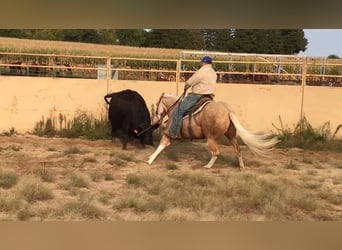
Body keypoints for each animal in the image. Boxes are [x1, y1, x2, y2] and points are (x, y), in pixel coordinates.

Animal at [147, 93, 278, 169]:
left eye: (157, 105)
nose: (156, 121)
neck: (175, 108)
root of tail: (227, 110)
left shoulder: (168, 133)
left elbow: (161, 145)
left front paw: (150, 160)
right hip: (231, 136)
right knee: (238, 149)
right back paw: (241, 166)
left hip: (211, 138)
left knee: (216, 152)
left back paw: (208, 166)